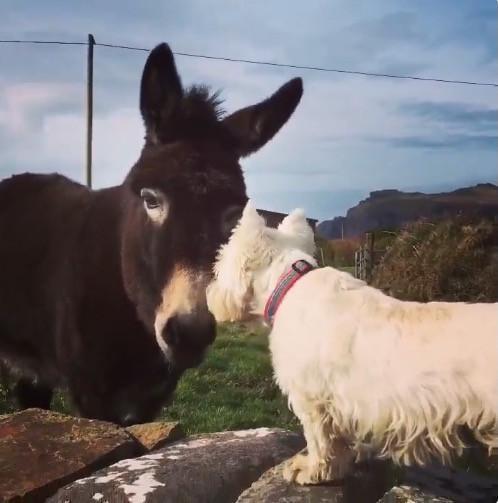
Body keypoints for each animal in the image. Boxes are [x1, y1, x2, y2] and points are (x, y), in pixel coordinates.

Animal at [207, 203, 498, 486]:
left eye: (219, 264)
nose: (208, 295)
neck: (289, 285)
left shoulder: (311, 398)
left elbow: (319, 440)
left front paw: (311, 470)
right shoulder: (342, 403)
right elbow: (340, 440)